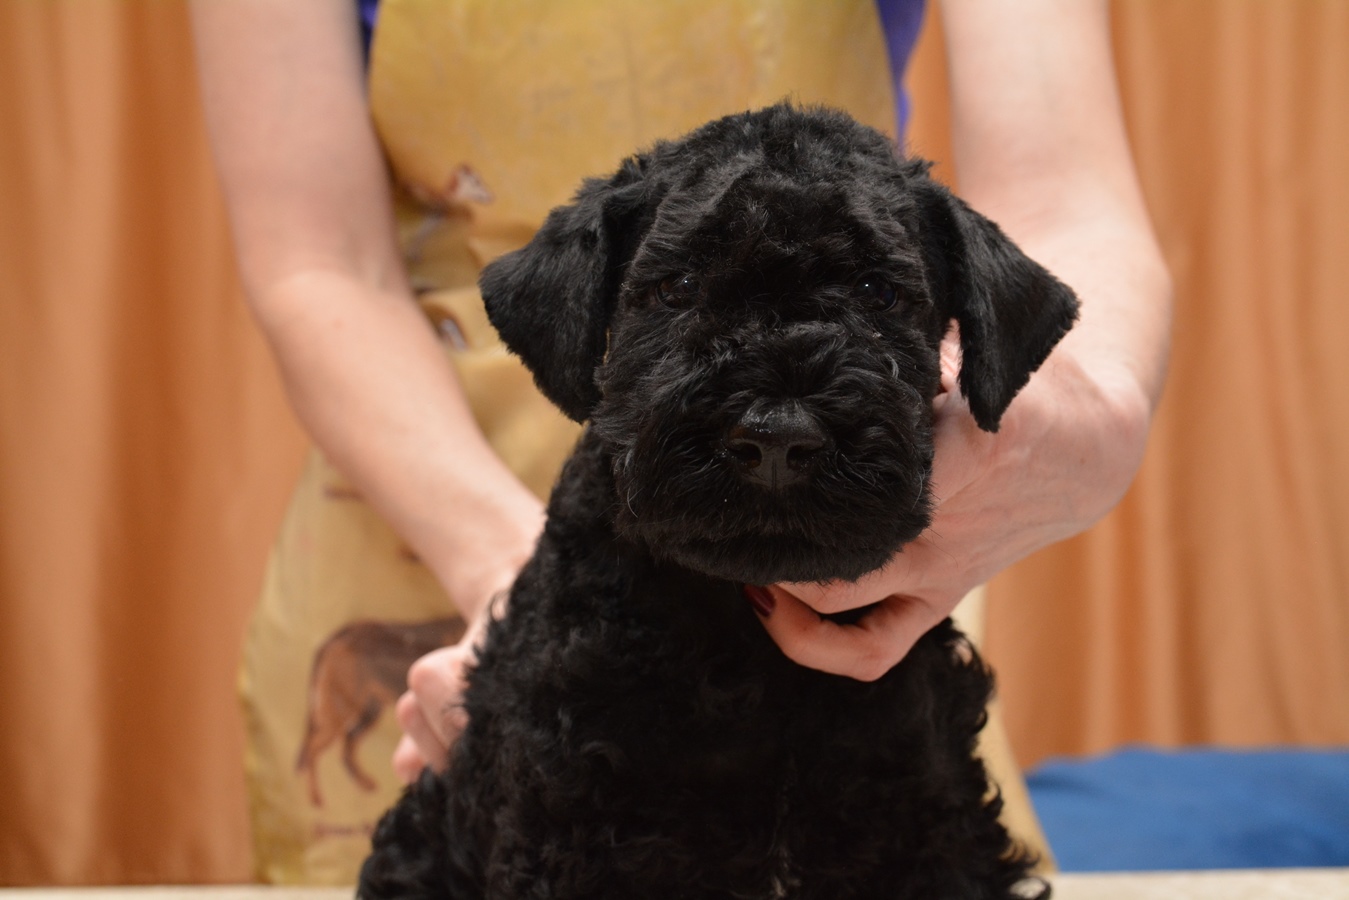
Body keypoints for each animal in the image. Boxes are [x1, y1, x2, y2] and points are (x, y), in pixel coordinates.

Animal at [359, 103, 1078, 899]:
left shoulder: (929, 820)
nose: (777, 438)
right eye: (677, 287)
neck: (744, 642)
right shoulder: (571, 822)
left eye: (877, 293)